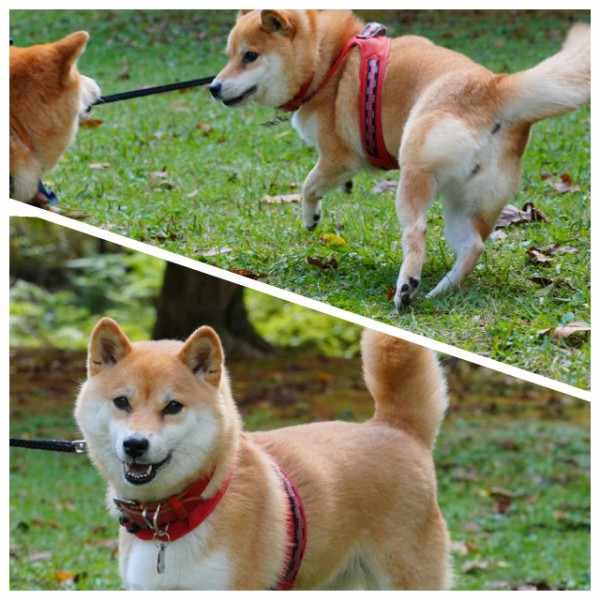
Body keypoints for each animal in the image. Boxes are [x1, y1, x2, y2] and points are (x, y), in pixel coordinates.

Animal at [211, 9, 592, 310]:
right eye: (228, 55)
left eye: (250, 56)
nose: (213, 87)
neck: (331, 60)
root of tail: (494, 88)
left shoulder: (338, 157)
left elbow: (308, 186)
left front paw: (311, 218)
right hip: (468, 203)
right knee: (472, 246)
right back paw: (440, 291)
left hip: (413, 176)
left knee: (417, 232)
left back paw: (407, 285)